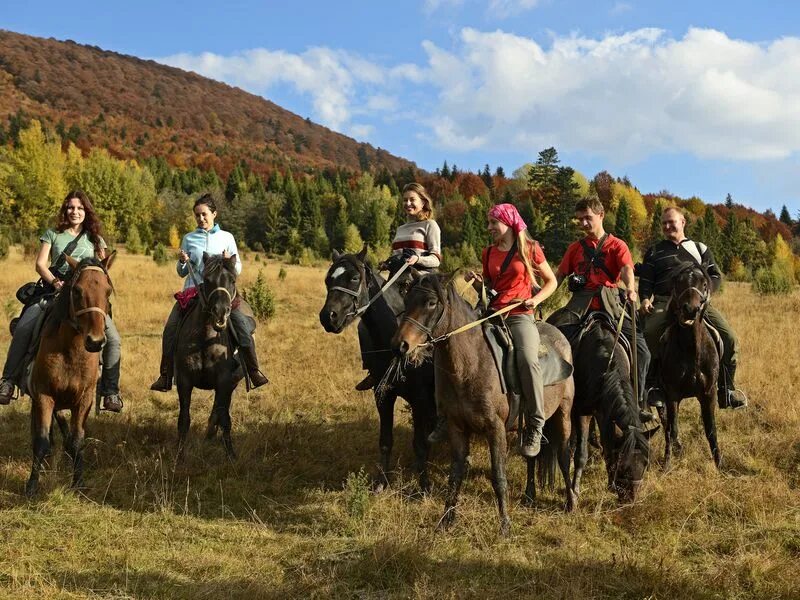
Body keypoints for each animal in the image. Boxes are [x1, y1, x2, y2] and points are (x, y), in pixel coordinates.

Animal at [26, 253, 116, 496]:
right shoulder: (44, 395)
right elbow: (41, 441)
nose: (95, 341)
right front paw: (32, 485)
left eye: (108, 291)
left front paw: (79, 483)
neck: (71, 352)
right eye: (77, 290)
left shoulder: (84, 400)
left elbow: (77, 440)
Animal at [170, 253, 242, 460]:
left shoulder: (224, 381)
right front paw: (179, 455)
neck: (205, 339)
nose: (220, 312)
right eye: (207, 280)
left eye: (233, 280)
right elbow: (184, 418)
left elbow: (225, 418)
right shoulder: (184, 381)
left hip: (232, 383)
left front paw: (231, 455)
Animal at [318, 245, 438, 492]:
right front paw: (382, 483)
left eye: (354, 278)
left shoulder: (420, 399)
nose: (328, 317)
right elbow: (385, 441)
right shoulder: (382, 394)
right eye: (328, 279)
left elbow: (420, 443)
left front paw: (424, 485)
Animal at [390, 272, 572, 536]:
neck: (472, 365)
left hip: (564, 413)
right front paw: (446, 520)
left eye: (431, 303)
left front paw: (505, 525)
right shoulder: (456, 428)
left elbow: (498, 476)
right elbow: (455, 474)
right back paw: (529, 496)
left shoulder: (495, 429)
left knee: (565, 455)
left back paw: (571, 501)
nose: (400, 345)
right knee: (531, 456)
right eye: (407, 299)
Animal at [660, 264, 720, 468]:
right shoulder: (671, 394)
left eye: (704, 283)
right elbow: (672, 429)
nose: (690, 309)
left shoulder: (709, 394)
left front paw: (720, 465)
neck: (691, 351)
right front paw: (667, 464)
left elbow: (711, 430)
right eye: (678, 282)